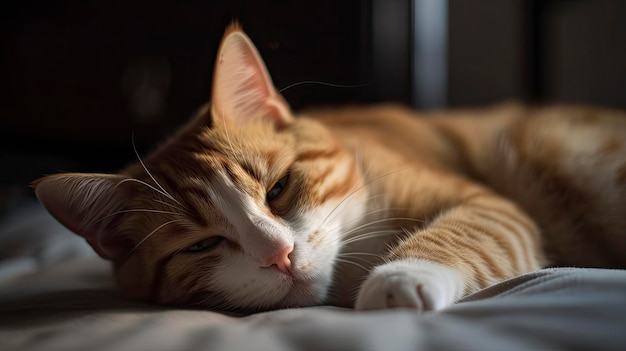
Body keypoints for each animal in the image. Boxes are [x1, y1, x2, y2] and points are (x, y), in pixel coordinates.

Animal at [33, 22, 624, 314]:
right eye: (200, 245)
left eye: (277, 188)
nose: (279, 254)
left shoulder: (488, 204)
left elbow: (470, 229)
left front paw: (400, 279)